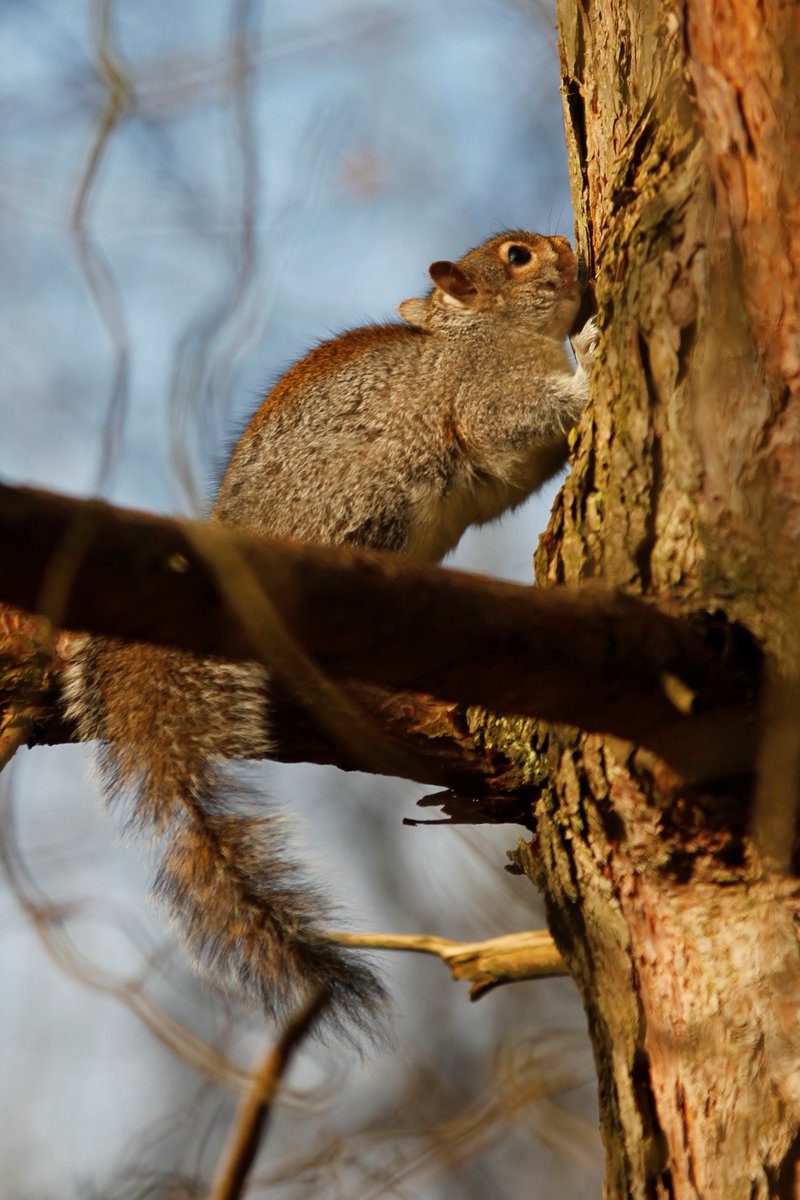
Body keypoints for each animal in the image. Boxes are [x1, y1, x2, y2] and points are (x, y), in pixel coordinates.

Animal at [65, 231, 597, 1036]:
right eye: (517, 255)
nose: (567, 246)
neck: (480, 332)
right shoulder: (482, 394)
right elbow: (512, 419)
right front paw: (593, 362)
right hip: (372, 503)